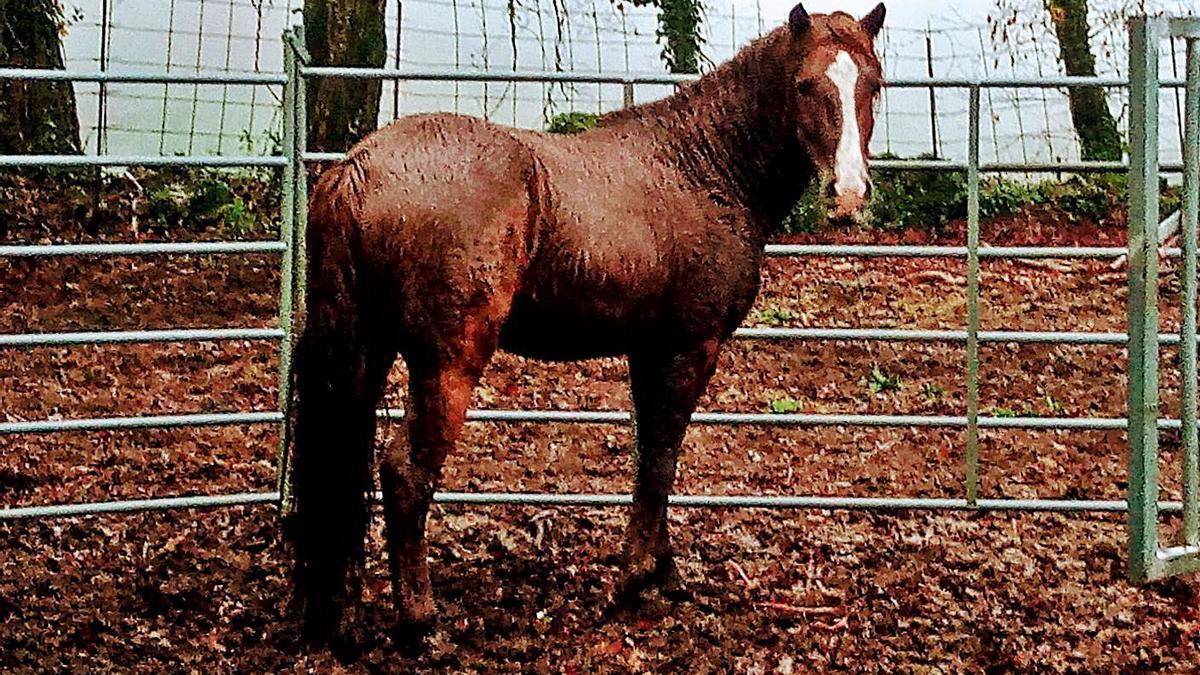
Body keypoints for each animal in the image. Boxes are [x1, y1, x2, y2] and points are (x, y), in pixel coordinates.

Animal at [292, 1, 883, 638]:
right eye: (806, 85)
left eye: (873, 84)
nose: (849, 192)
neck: (701, 168)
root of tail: (355, 170)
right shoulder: (690, 347)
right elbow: (662, 456)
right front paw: (635, 580)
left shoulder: (650, 350)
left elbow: (653, 454)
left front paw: (661, 572)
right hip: (446, 363)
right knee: (404, 473)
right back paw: (420, 620)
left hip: (366, 354)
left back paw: (338, 613)